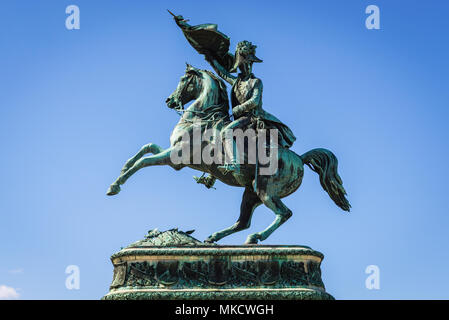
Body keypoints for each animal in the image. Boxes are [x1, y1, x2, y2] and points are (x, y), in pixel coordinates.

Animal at [107, 65, 350, 245]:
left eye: (183, 80)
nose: (169, 100)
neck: (200, 119)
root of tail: (299, 159)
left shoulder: (175, 157)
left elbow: (144, 160)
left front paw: (116, 185)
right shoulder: (173, 156)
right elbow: (145, 149)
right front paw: (119, 174)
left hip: (266, 190)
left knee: (284, 213)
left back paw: (255, 237)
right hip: (251, 192)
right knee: (243, 222)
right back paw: (214, 237)